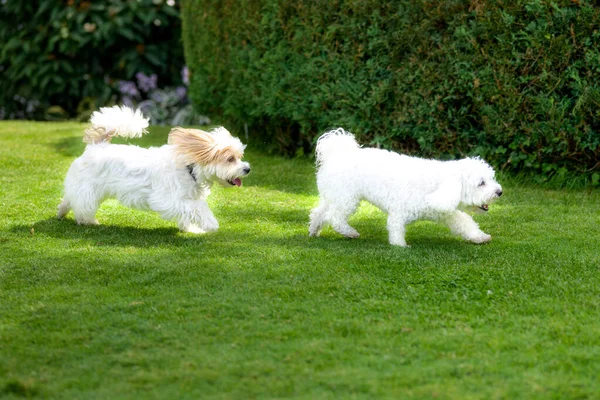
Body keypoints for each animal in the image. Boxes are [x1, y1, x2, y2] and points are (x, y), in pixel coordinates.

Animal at [57, 104, 250, 233]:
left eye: (240, 157)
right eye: (230, 159)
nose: (247, 169)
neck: (188, 168)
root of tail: (96, 144)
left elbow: (190, 212)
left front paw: (191, 229)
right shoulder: (168, 199)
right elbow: (197, 208)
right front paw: (210, 223)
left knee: (69, 198)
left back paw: (62, 211)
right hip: (88, 190)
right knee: (81, 204)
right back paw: (87, 220)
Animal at [310, 128, 502, 247]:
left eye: (491, 178)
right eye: (481, 183)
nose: (500, 192)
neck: (437, 187)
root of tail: (338, 153)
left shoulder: (448, 212)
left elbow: (465, 223)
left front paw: (480, 237)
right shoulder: (399, 211)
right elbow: (396, 229)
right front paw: (400, 246)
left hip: (334, 196)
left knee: (318, 212)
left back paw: (313, 230)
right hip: (347, 198)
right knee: (335, 217)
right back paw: (349, 232)